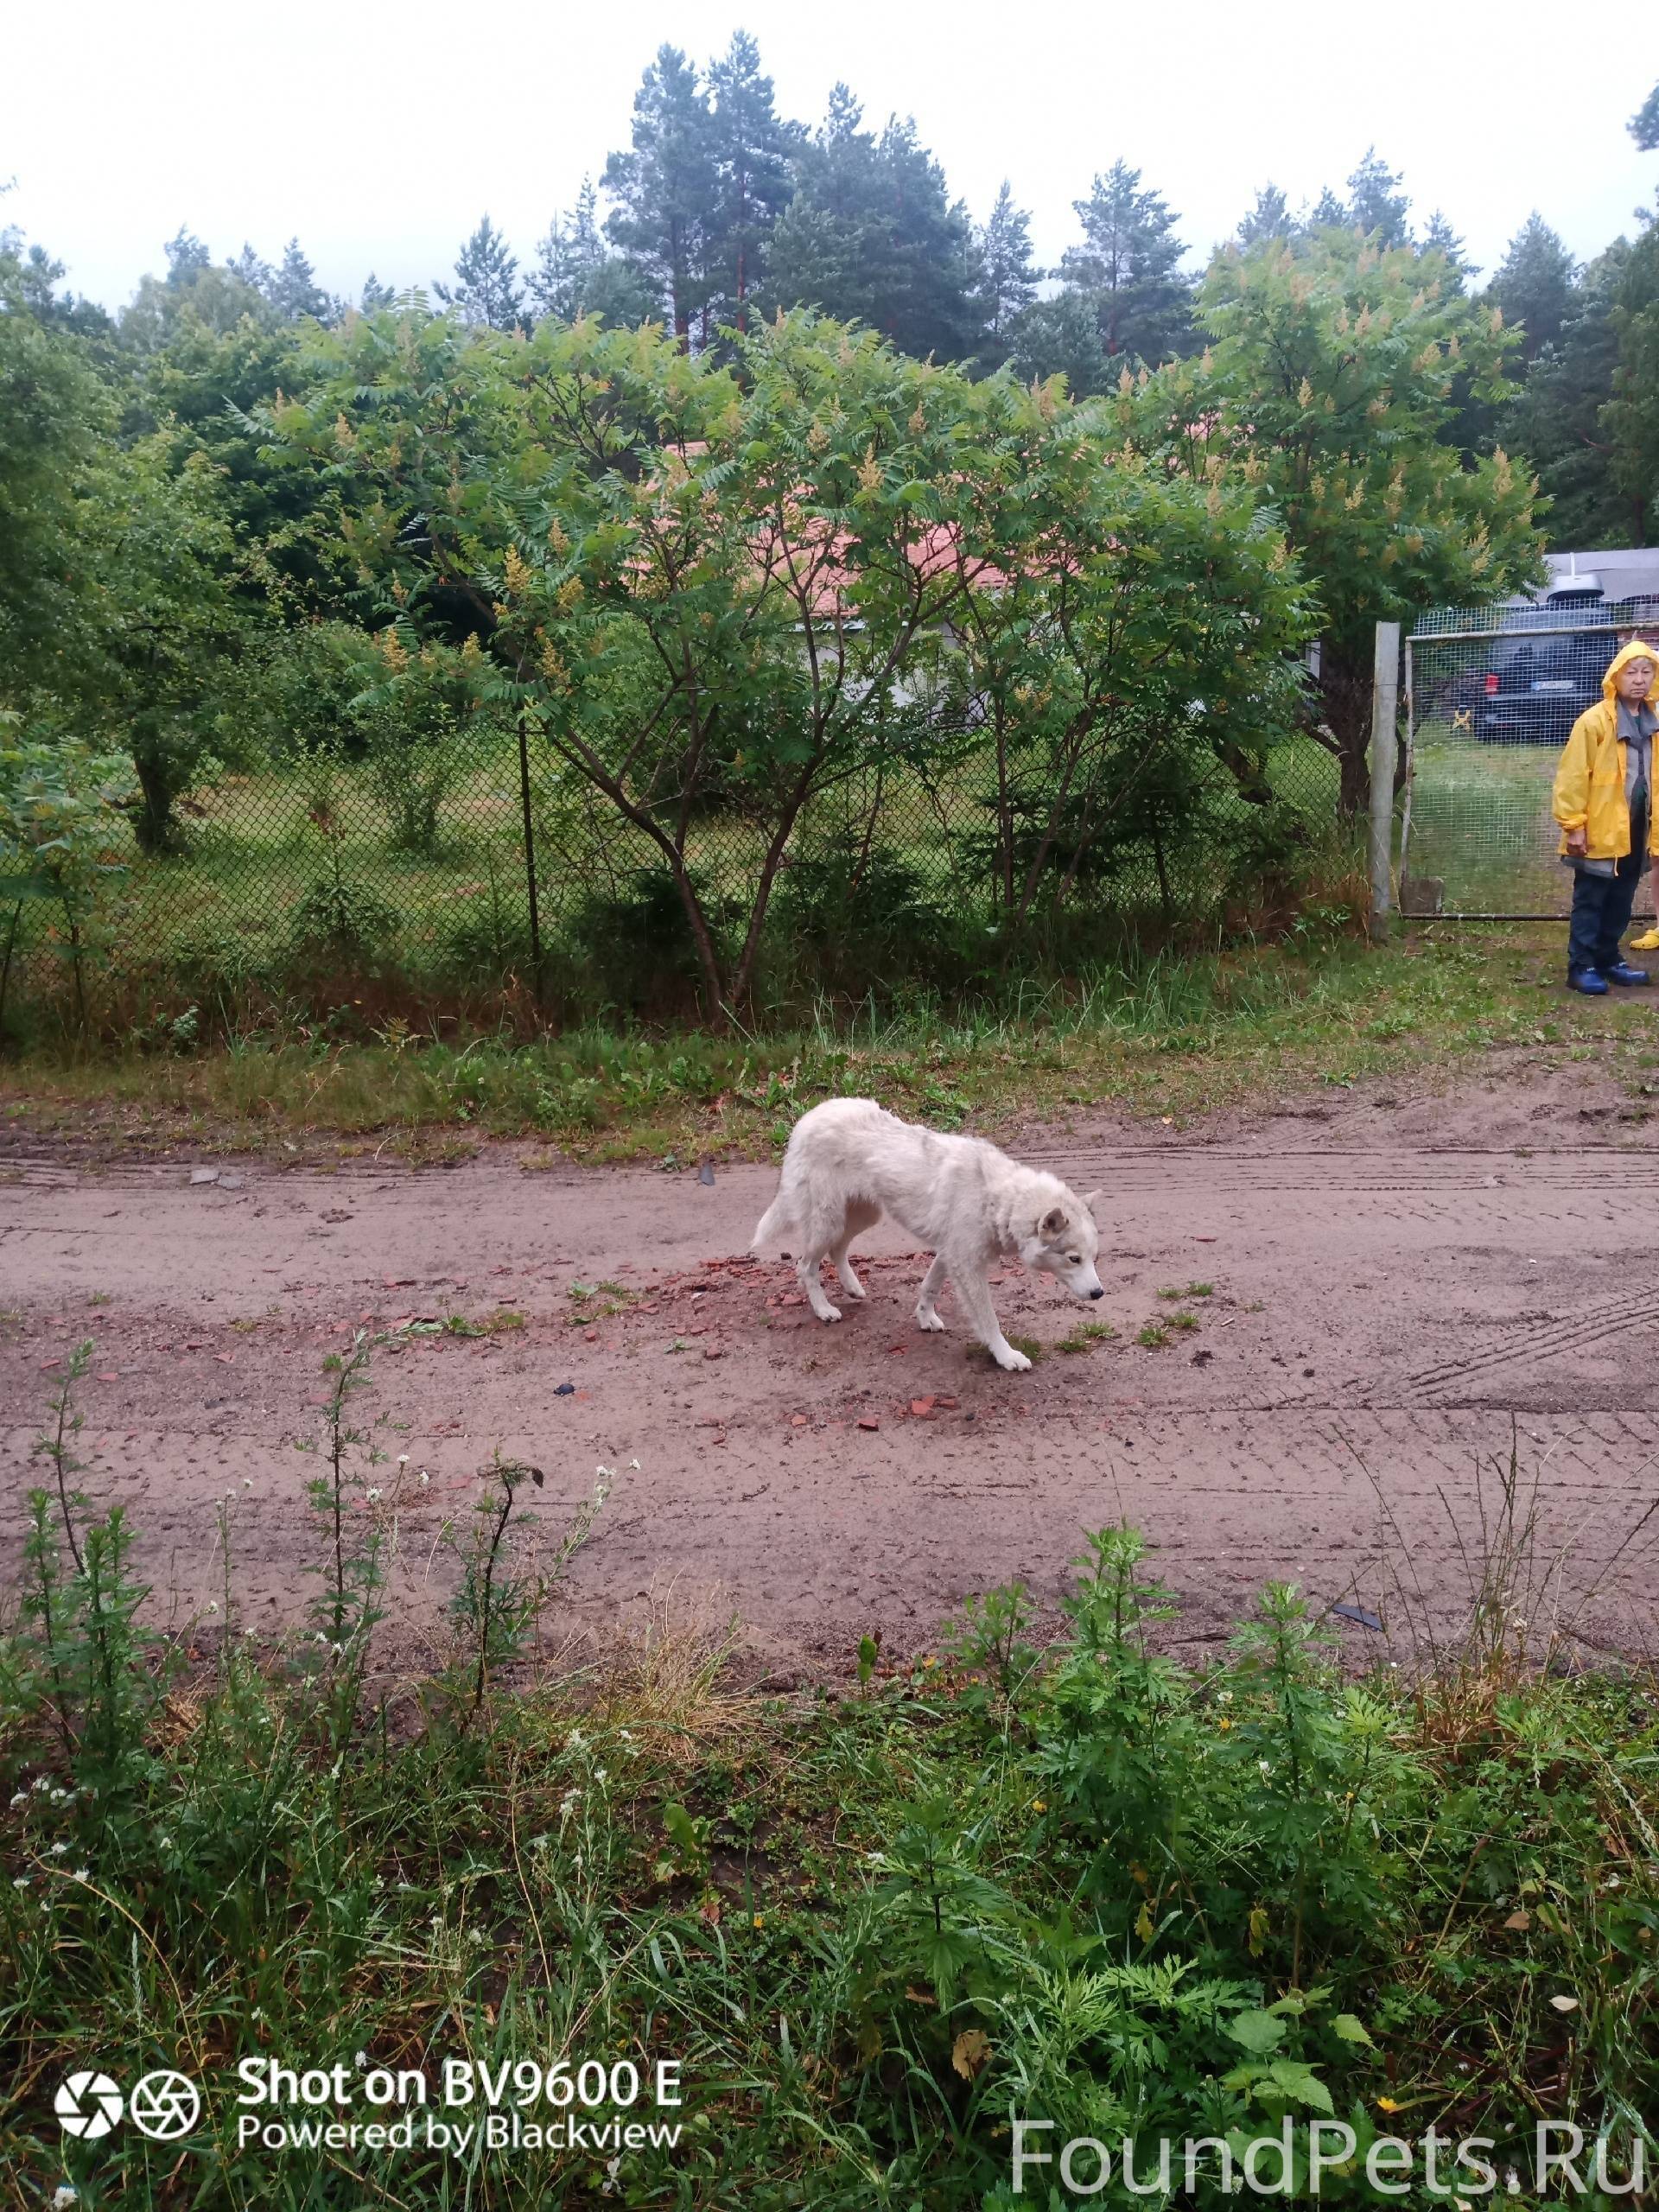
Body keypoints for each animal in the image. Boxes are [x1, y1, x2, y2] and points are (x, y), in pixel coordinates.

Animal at [752, 1096, 1106, 1371]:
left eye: (1093, 1259)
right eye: (1074, 1259)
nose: (1099, 1294)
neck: (1000, 1201)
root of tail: (807, 1117)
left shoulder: (950, 1255)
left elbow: (929, 1287)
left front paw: (925, 1319)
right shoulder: (967, 1265)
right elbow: (989, 1321)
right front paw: (1007, 1357)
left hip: (862, 1216)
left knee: (837, 1249)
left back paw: (853, 1288)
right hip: (829, 1222)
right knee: (805, 1266)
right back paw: (824, 1310)